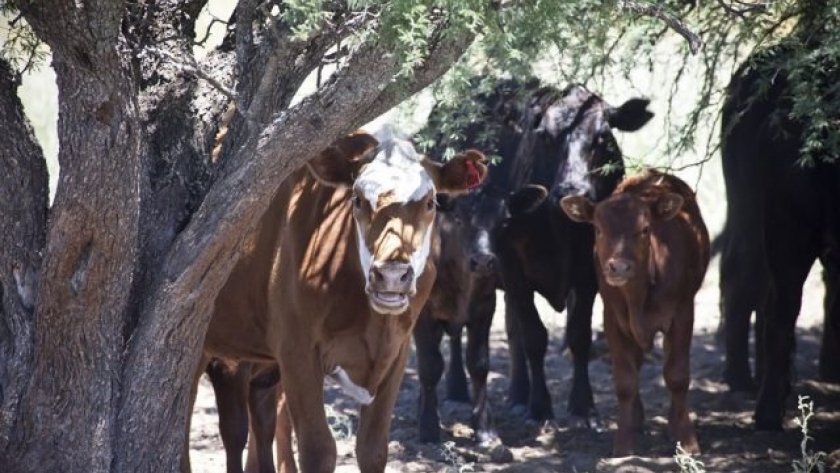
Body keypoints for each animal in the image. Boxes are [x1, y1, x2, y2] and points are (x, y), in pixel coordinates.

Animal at [192, 131, 486, 472]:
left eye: (430, 203)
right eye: (357, 200)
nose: (391, 275)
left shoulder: (397, 353)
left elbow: (373, 449)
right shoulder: (296, 352)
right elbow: (318, 450)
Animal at [560, 169, 712, 454]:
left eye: (644, 229)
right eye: (597, 229)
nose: (619, 267)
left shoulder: (683, 313)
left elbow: (677, 375)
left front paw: (686, 438)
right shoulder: (613, 319)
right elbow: (625, 382)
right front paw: (623, 443)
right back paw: (636, 419)